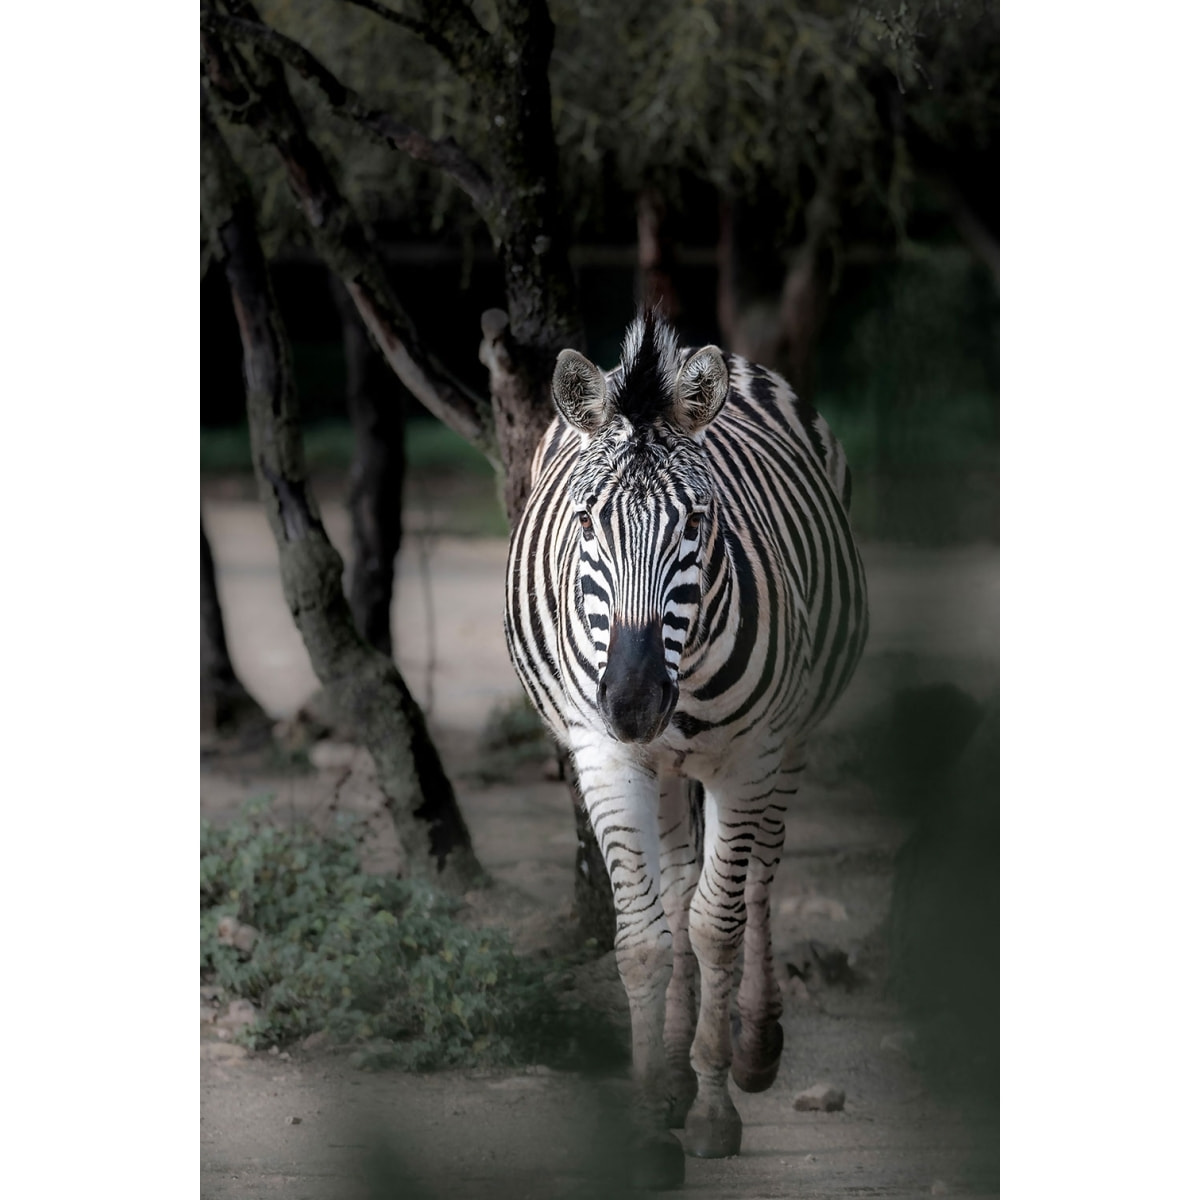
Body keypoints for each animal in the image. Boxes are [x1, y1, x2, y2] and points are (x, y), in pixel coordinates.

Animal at [504, 311, 868, 1189]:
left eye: (697, 525)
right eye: (585, 523)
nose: (634, 701)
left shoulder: (748, 759)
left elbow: (717, 928)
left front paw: (711, 1109)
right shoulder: (606, 756)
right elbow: (643, 941)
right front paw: (649, 1120)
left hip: (789, 740)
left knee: (760, 878)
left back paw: (753, 1047)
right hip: (663, 768)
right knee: (673, 886)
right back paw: (669, 1072)